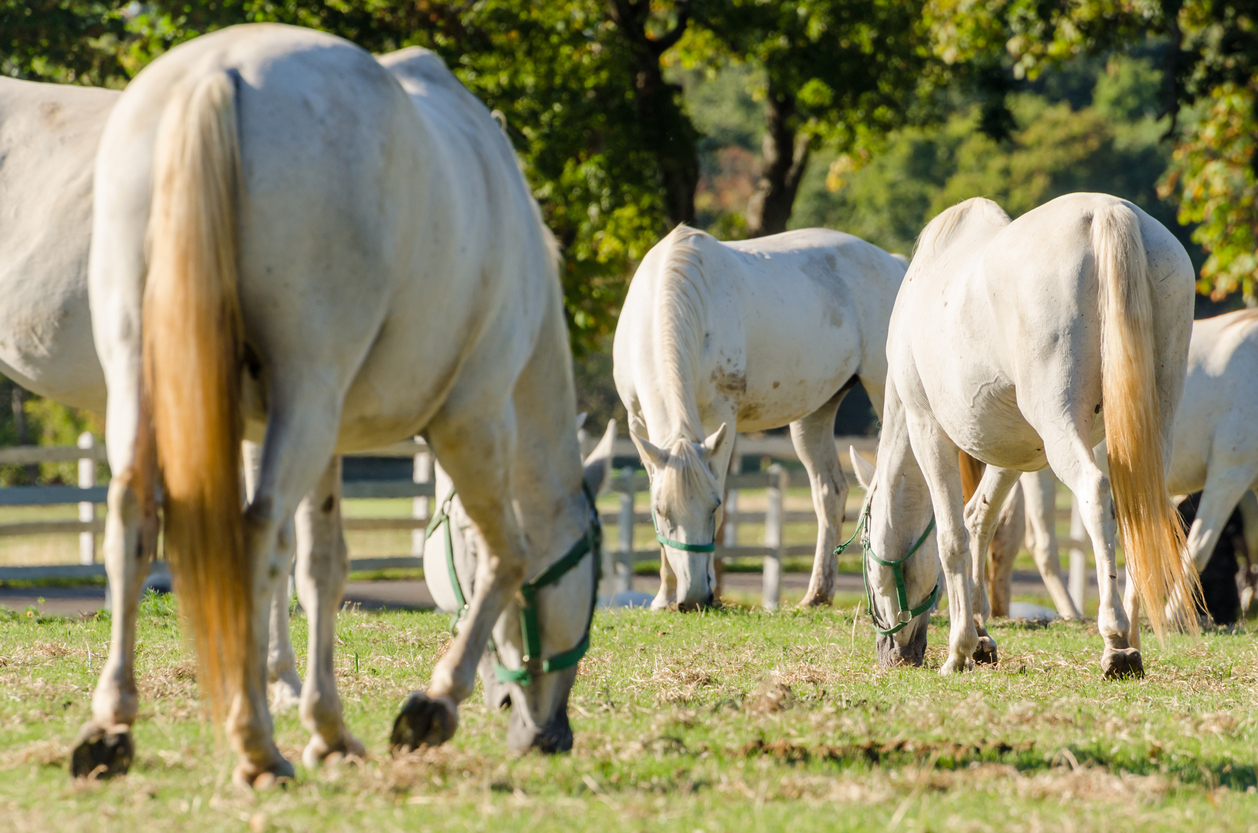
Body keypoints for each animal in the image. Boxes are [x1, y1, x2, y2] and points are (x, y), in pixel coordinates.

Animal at [84, 24, 598, 786]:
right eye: (590, 564)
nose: (552, 733)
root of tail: (218, 73)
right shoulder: (472, 421)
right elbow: (508, 556)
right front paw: (434, 704)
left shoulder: (322, 440)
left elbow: (322, 568)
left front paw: (329, 728)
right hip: (311, 394)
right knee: (255, 533)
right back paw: (256, 742)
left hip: (146, 379)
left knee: (132, 520)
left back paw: (112, 726)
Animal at [613, 225, 906, 609]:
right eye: (662, 512)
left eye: (713, 507)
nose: (694, 596)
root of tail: (895, 263)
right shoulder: (638, 422)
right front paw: (663, 597)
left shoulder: (721, 416)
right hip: (814, 414)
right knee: (830, 493)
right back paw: (816, 595)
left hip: (886, 392)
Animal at [850, 193, 1198, 677]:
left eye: (866, 558)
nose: (893, 654)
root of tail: (1106, 211)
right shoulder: (1016, 452)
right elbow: (979, 519)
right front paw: (980, 638)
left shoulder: (926, 428)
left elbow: (952, 536)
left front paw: (958, 649)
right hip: (1150, 424)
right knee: (1140, 507)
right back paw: (1132, 637)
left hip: (1058, 422)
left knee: (1094, 491)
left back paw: (1115, 642)